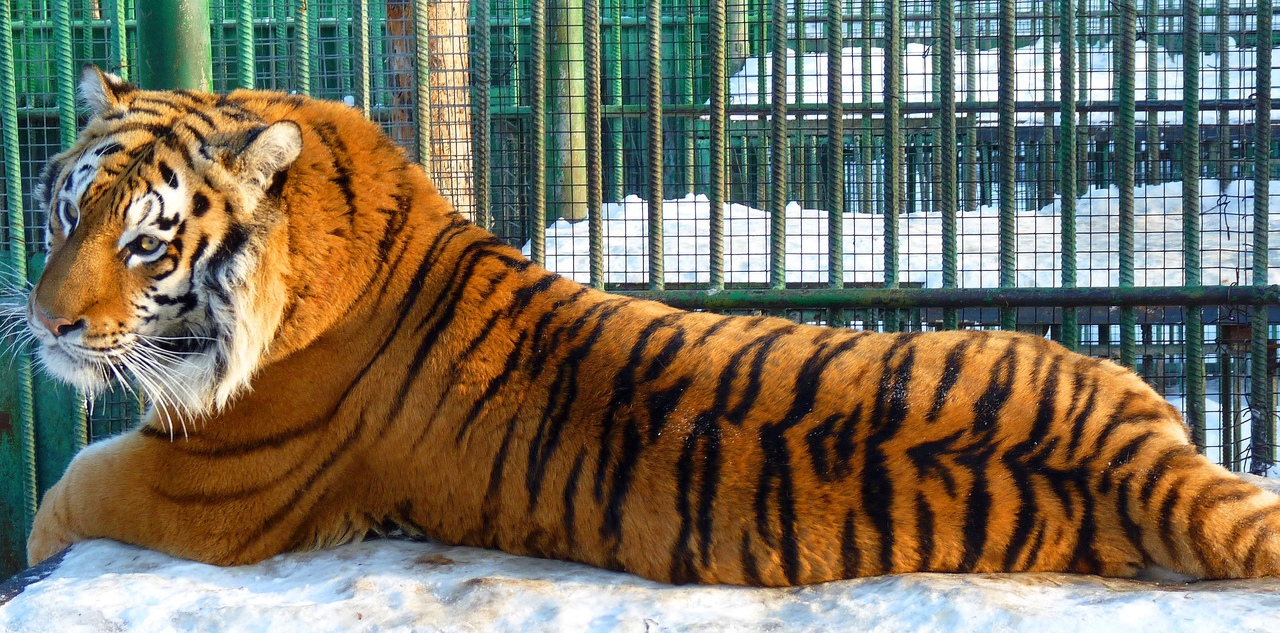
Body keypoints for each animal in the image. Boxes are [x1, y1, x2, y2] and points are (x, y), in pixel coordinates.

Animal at [17, 65, 1280, 586]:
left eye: (147, 243)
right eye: (70, 210)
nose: (45, 325)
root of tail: (1145, 460)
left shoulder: (205, 488)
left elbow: (59, 494)